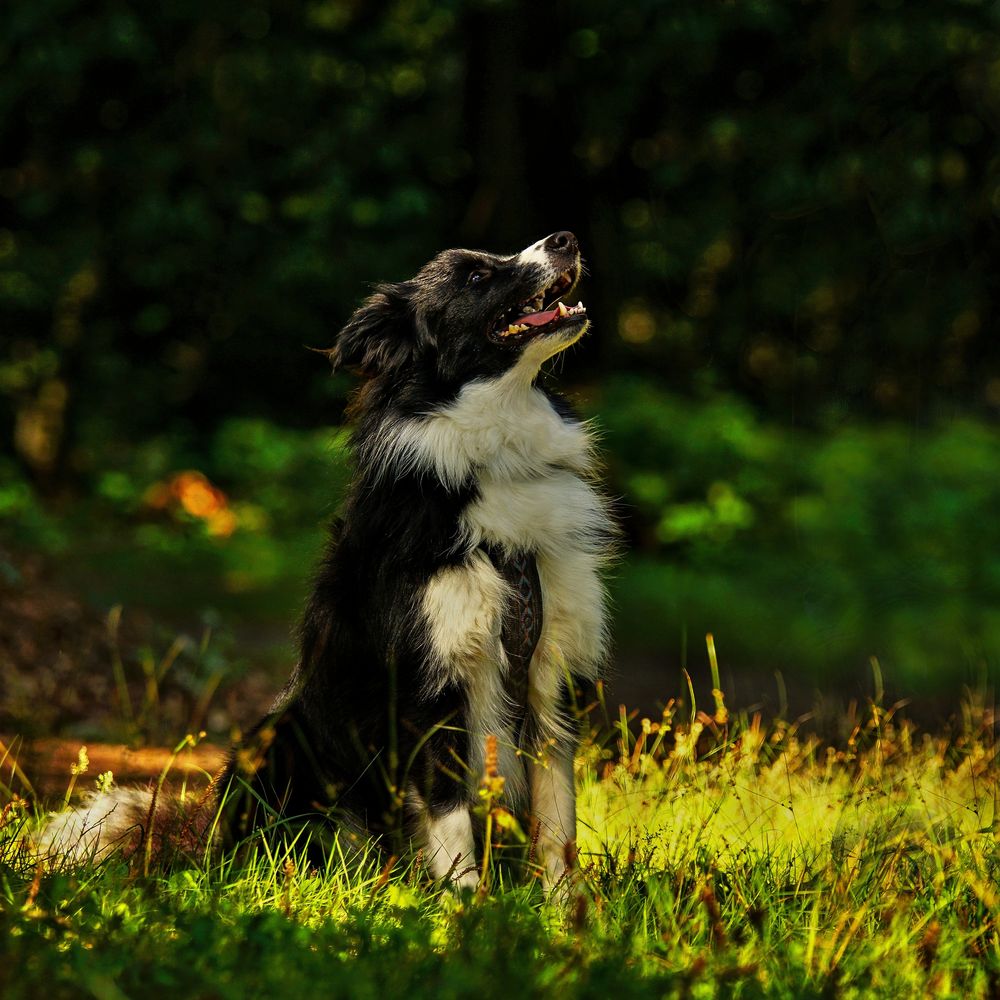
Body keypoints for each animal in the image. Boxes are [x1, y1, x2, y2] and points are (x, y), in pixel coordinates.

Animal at [35, 234, 612, 892]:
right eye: (473, 277)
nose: (566, 238)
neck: (495, 461)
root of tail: (204, 836)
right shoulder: (428, 688)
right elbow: (452, 823)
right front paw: (468, 910)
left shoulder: (551, 681)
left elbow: (558, 825)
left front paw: (561, 912)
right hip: (277, 737)